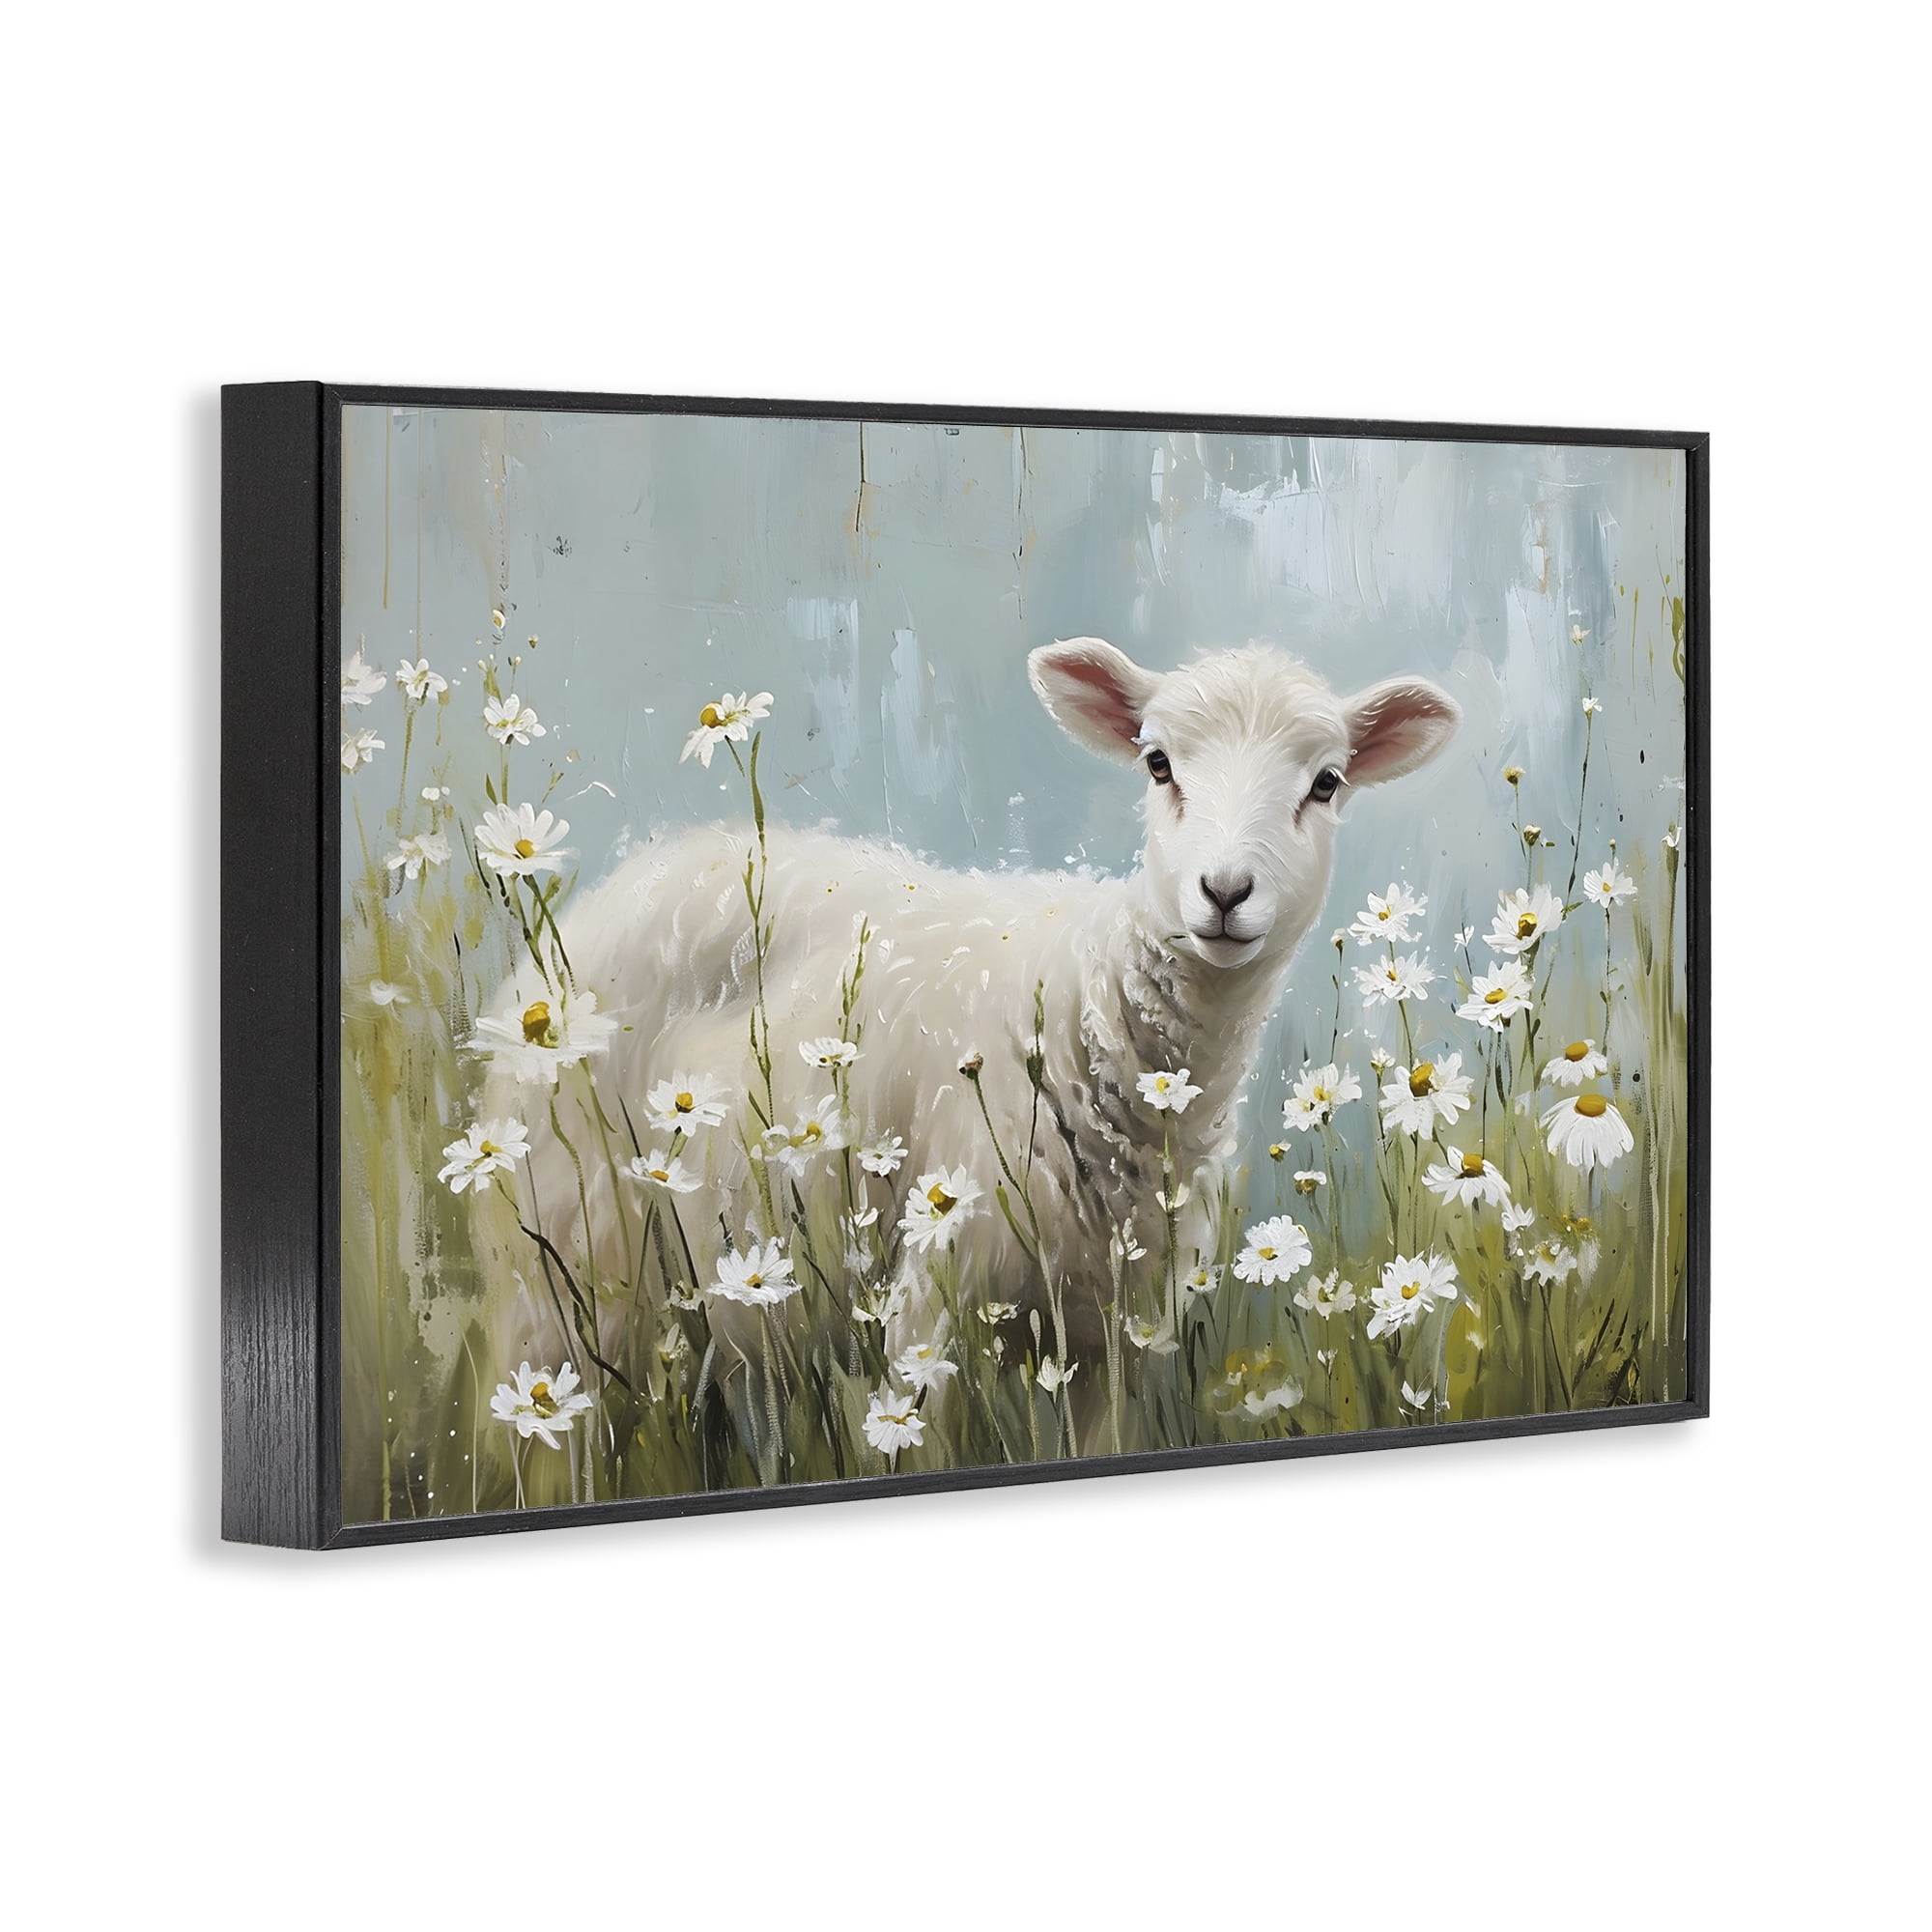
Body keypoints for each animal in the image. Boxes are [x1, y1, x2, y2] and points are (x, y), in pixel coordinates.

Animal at [477, 637, 1457, 1406]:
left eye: (1326, 782)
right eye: (1158, 763)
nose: (1223, 892)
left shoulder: (1116, 1334)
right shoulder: (930, 1299)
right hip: (563, 1270)